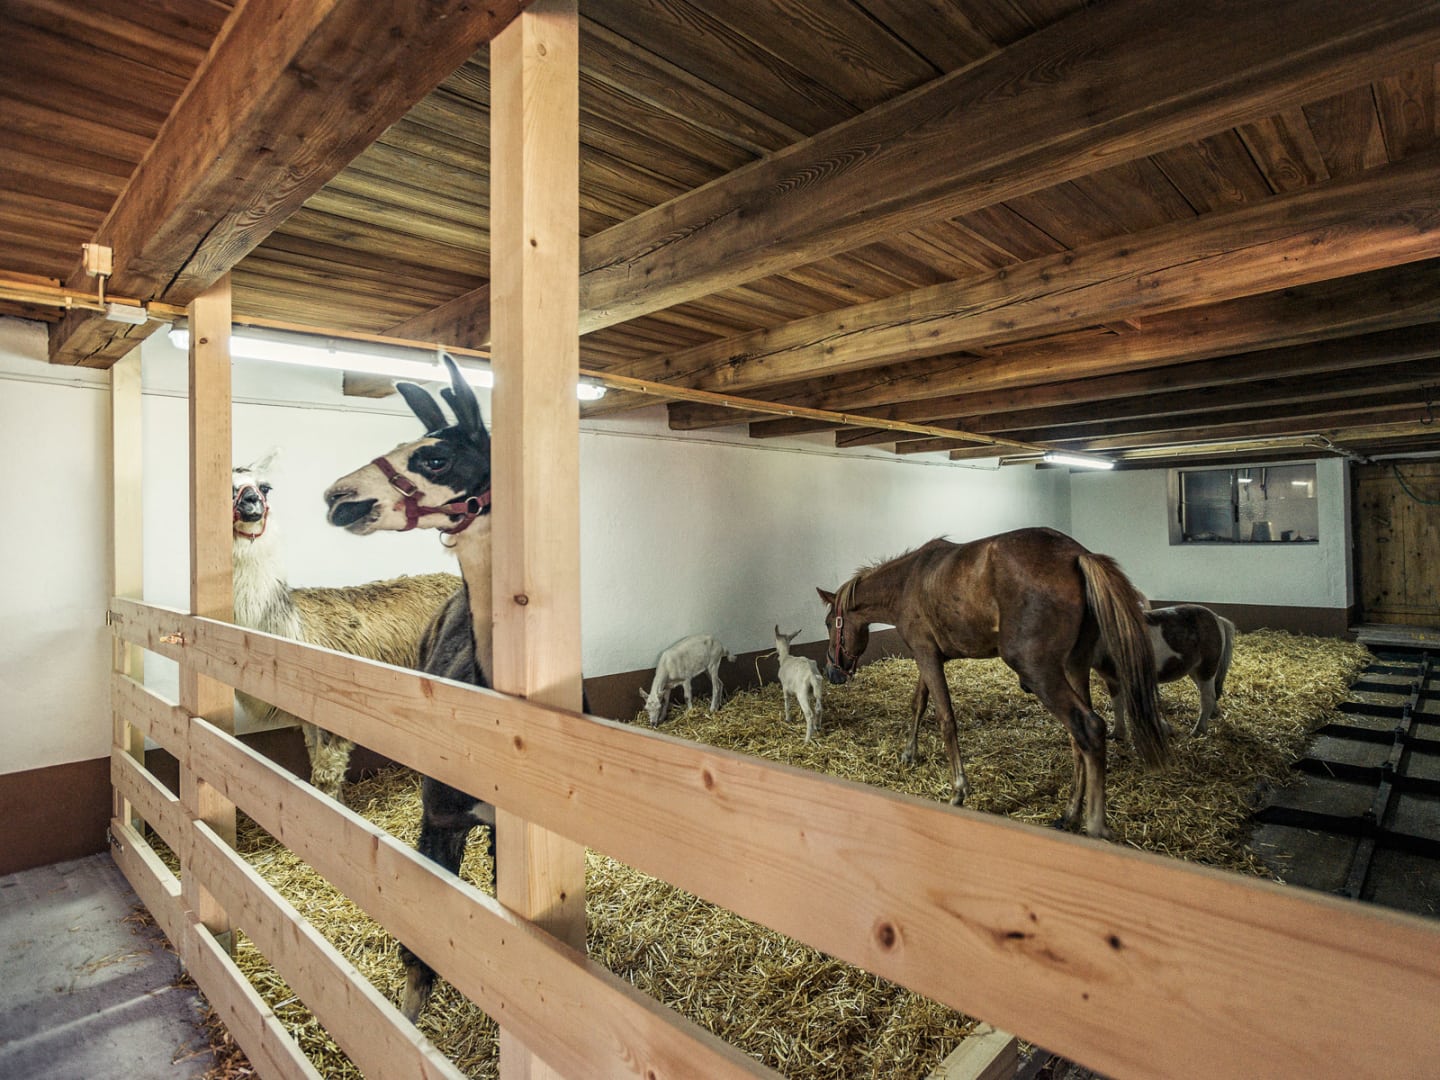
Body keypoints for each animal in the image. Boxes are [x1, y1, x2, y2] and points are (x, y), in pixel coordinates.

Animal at [231, 454, 459, 800]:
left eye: (265, 487)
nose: (251, 502)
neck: (290, 628)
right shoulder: (309, 715)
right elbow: (315, 759)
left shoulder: (333, 711)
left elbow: (325, 777)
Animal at [818, 528, 1168, 840]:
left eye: (829, 623)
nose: (833, 672)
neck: (908, 581)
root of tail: (1077, 554)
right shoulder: (927, 655)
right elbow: (918, 703)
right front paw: (908, 754)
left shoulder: (926, 655)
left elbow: (945, 719)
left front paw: (958, 790)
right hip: (1074, 667)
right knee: (1078, 738)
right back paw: (1070, 814)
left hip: (1039, 671)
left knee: (1089, 728)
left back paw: (1094, 825)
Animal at [1098, 603, 1236, 740]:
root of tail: (1218, 619)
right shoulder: (1112, 680)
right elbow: (1118, 705)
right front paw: (1116, 734)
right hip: (1195, 670)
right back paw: (1213, 714)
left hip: (1207, 668)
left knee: (1208, 697)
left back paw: (1198, 731)